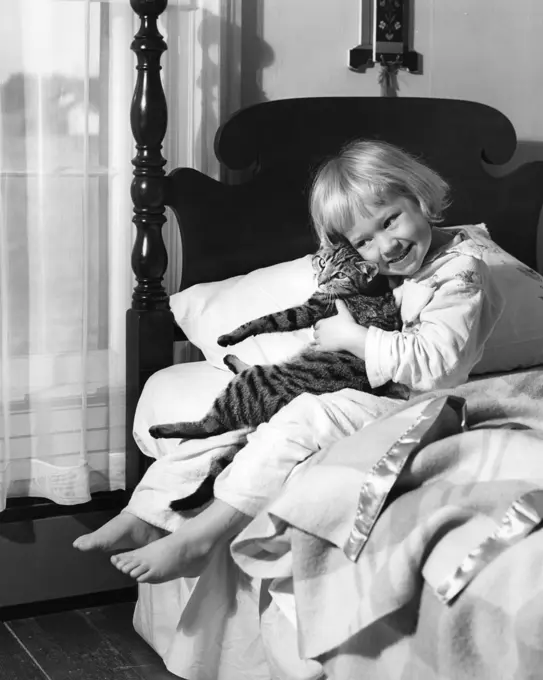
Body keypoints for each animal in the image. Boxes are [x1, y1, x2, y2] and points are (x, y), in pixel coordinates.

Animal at [151, 238, 406, 510]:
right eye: (322, 262)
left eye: (340, 275)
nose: (321, 279)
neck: (371, 289)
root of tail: (268, 417)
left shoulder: (308, 309)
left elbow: (266, 320)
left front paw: (231, 336)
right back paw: (231, 361)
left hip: (250, 383)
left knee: (211, 425)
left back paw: (162, 429)